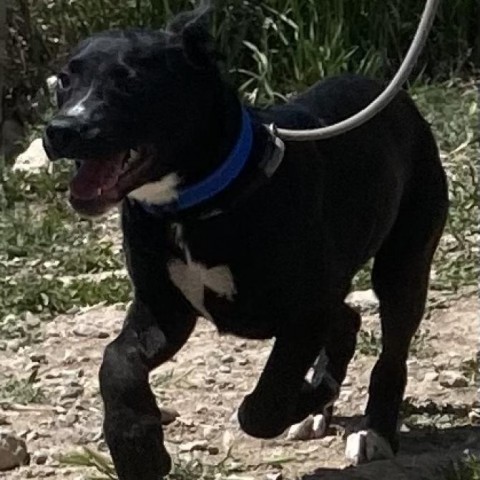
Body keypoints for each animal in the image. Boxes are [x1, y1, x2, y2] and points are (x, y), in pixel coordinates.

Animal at [42, 6, 450, 480]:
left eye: (130, 79)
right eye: (63, 80)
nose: (62, 130)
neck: (194, 205)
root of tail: (395, 97)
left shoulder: (304, 313)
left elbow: (264, 406)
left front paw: (305, 398)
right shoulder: (162, 310)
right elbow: (116, 362)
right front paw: (138, 447)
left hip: (404, 264)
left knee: (390, 354)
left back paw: (373, 428)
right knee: (347, 319)